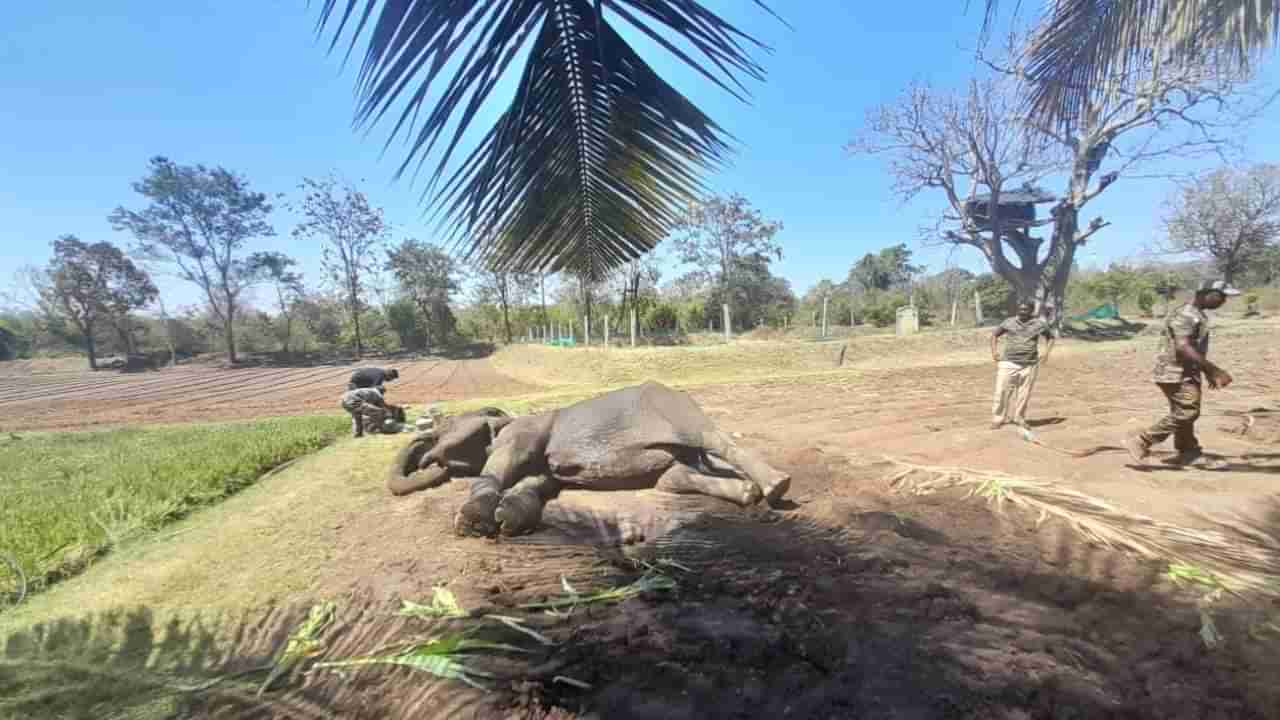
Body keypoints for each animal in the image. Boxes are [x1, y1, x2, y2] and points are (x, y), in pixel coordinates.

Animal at [389, 379, 788, 535]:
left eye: (444, 426)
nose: (426, 459)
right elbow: (537, 482)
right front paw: (508, 519)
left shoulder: (525, 433)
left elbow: (505, 463)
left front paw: (473, 521)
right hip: (677, 462)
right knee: (676, 476)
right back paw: (748, 495)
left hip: (678, 408)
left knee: (714, 438)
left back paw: (777, 486)